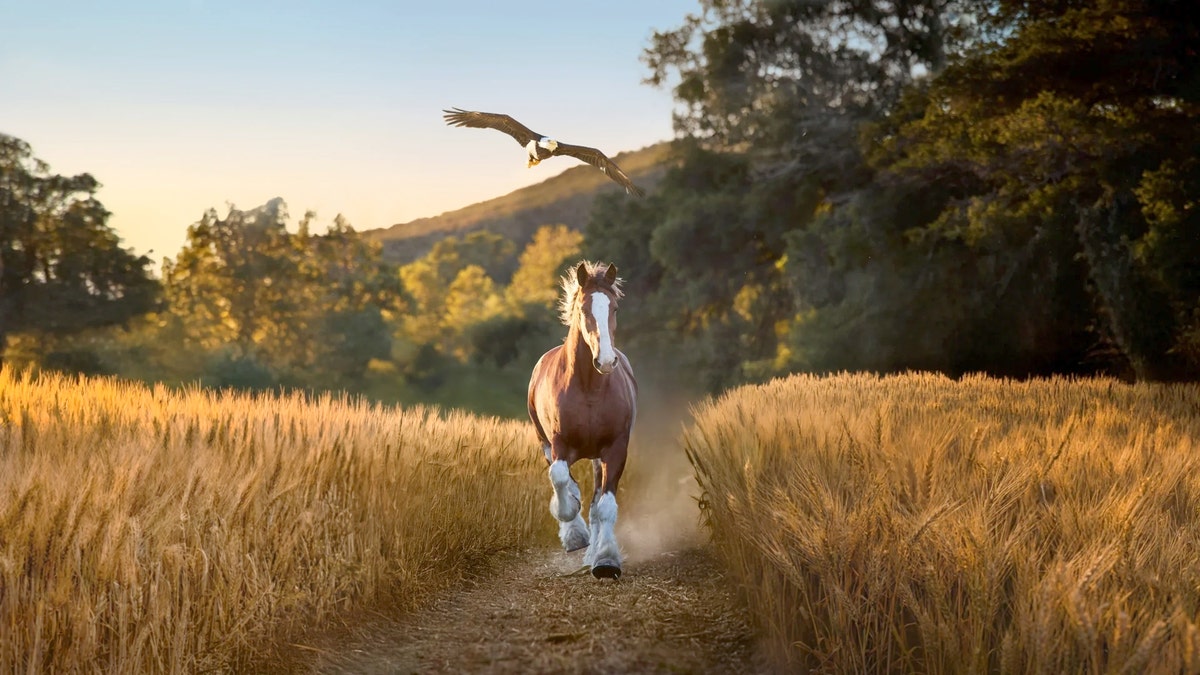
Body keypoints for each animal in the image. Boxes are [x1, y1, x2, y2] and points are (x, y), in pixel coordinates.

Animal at [528, 260, 637, 579]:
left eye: (614, 307)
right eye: (584, 309)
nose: (606, 361)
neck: (589, 387)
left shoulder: (615, 448)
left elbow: (605, 505)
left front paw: (606, 560)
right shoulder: (559, 444)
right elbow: (560, 478)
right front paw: (574, 531)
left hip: (598, 457)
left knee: (597, 499)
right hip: (545, 444)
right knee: (564, 478)